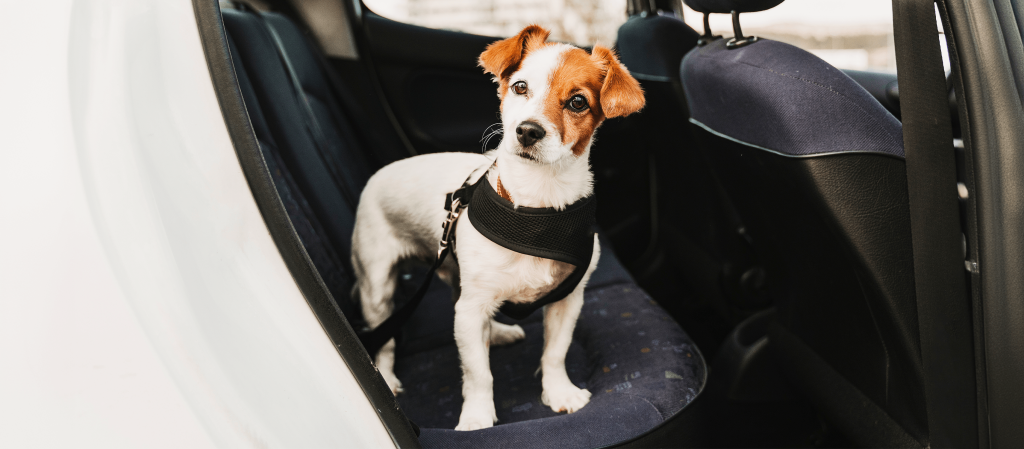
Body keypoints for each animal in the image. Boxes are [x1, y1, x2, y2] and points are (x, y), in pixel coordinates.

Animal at [350, 25, 638, 430]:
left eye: (578, 102)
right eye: (520, 87)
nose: (528, 131)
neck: (535, 208)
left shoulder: (567, 300)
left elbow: (555, 352)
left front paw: (559, 393)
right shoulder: (472, 310)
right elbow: (478, 373)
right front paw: (477, 417)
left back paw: (496, 333)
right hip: (377, 287)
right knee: (387, 339)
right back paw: (387, 378)